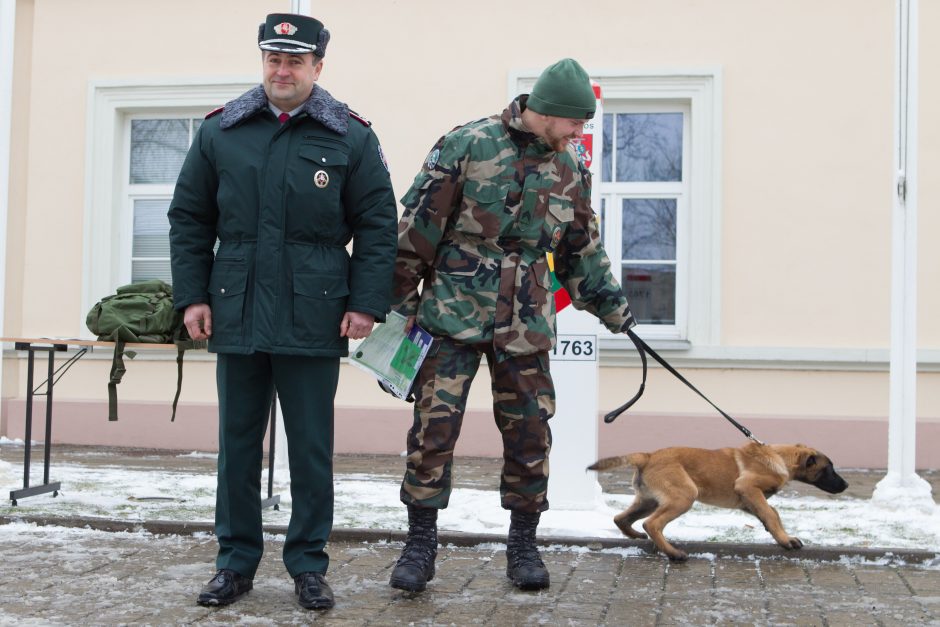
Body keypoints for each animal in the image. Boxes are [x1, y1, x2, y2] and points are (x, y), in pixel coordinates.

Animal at [588, 444, 844, 560]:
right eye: (828, 469)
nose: (845, 486)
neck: (780, 457)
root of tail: (648, 456)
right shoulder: (748, 488)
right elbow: (771, 513)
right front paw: (785, 540)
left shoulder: (748, 500)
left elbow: (770, 513)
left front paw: (781, 536)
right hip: (684, 496)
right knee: (652, 524)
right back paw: (674, 553)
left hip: (648, 500)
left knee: (621, 519)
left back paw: (638, 537)